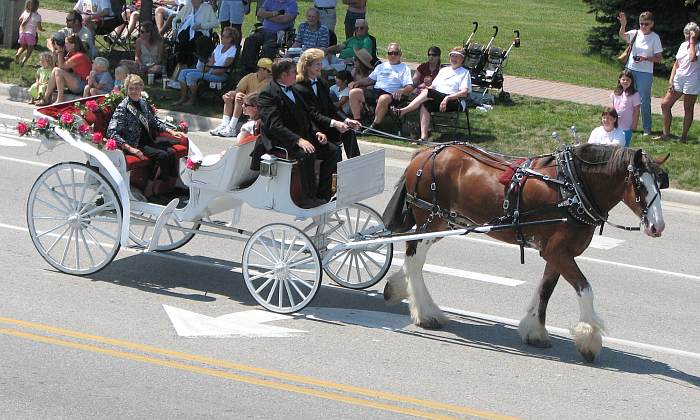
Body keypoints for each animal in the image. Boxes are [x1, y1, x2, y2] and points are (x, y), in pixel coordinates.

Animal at [386, 144, 668, 360]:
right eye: (640, 185)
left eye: (660, 184)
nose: (658, 226)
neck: (572, 188)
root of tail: (424, 152)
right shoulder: (558, 252)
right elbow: (585, 289)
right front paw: (589, 338)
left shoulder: (556, 253)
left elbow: (545, 289)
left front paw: (535, 330)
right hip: (431, 219)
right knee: (414, 260)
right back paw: (426, 313)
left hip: (446, 222)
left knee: (412, 258)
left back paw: (399, 288)